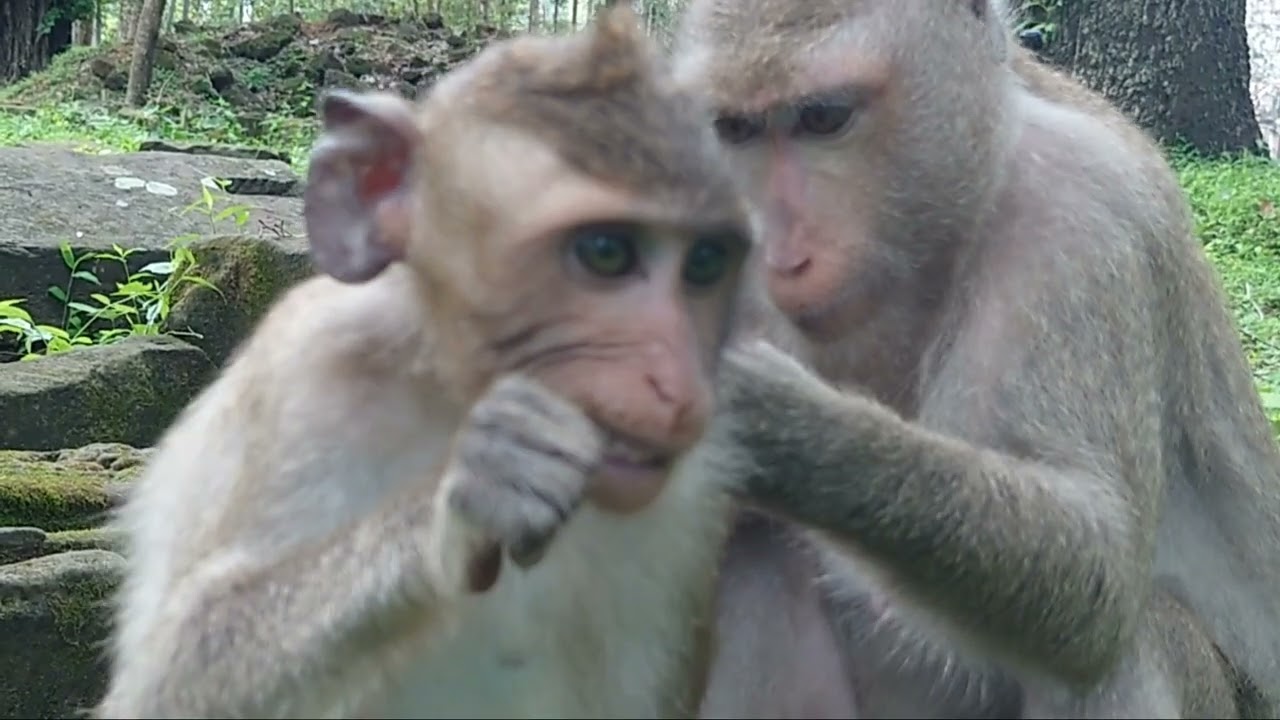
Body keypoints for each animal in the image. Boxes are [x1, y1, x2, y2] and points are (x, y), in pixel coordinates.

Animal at [94, 5, 756, 718]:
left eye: (705, 263)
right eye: (606, 252)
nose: (679, 390)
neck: (450, 389)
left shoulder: (700, 492)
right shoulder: (304, 381)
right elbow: (166, 679)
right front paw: (467, 494)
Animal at [669, 0, 1280, 717]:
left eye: (824, 118)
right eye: (735, 128)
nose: (775, 246)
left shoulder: (1077, 216)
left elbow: (1096, 565)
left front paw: (786, 428)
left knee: (1121, 642)